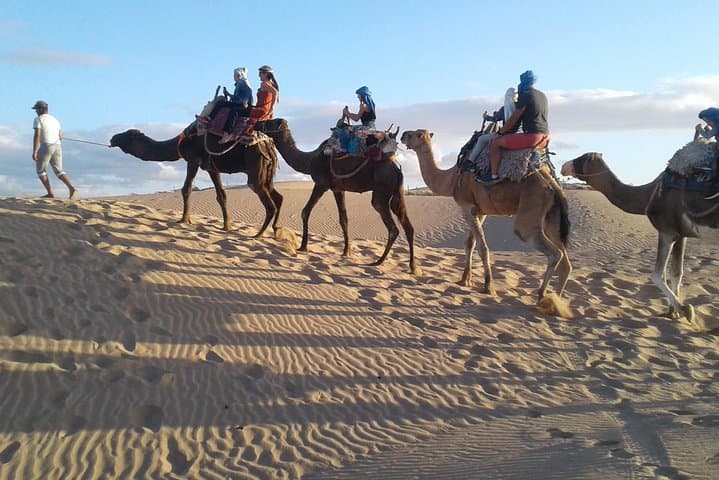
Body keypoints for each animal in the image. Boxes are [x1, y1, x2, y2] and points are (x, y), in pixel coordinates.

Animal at [110, 127, 282, 236]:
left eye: (126, 135)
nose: (113, 138)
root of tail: (268, 144)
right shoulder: (212, 168)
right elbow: (221, 195)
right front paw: (227, 226)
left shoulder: (193, 159)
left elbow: (186, 189)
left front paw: (184, 220)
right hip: (267, 174)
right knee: (278, 197)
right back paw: (276, 231)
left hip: (255, 168)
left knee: (268, 203)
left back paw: (258, 235)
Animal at [257, 118, 417, 274]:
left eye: (270, 121)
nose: (258, 123)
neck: (310, 159)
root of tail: (396, 168)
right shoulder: (338, 189)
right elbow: (343, 219)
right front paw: (346, 251)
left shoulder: (321, 184)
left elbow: (305, 212)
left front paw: (303, 246)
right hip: (397, 192)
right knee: (407, 224)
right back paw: (412, 266)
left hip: (382, 189)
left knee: (392, 227)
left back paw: (379, 261)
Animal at [401, 129, 571, 302]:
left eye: (417, 135)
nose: (403, 134)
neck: (452, 179)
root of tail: (552, 183)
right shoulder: (480, 211)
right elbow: (470, 244)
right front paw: (464, 280)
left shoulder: (466, 207)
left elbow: (482, 248)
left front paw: (488, 287)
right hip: (552, 216)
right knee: (565, 260)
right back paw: (556, 302)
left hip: (532, 206)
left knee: (552, 251)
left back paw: (542, 296)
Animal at [561, 152, 719, 322]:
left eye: (581, 159)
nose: (563, 167)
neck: (650, 194)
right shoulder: (681, 234)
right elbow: (676, 273)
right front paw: (672, 313)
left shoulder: (666, 231)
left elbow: (657, 275)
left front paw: (684, 310)